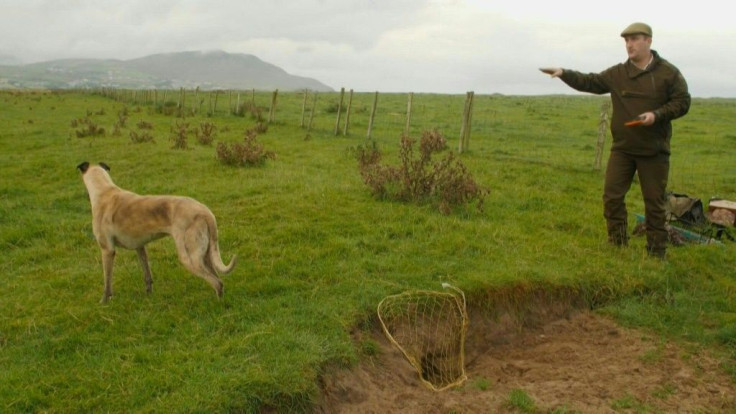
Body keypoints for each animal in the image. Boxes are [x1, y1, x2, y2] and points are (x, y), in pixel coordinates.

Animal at [76, 160, 236, 302]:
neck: (104, 191)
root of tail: (205, 212)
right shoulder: (140, 247)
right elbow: (147, 274)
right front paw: (148, 295)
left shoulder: (107, 250)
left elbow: (107, 283)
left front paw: (104, 302)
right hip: (205, 254)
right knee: (218, 278)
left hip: (190, 258)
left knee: (217, 282)